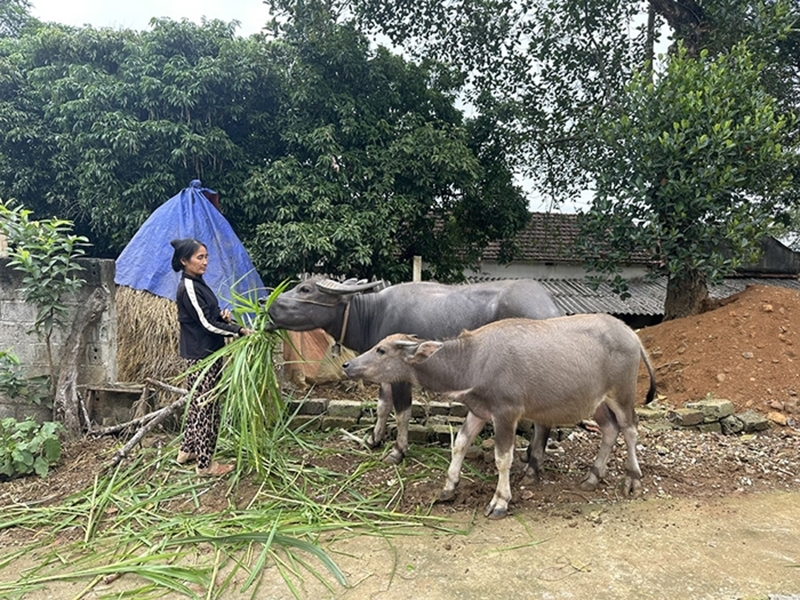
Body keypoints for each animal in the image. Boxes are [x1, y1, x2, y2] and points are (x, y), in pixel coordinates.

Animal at [268, 276, 564, 464]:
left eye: (305, 289)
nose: (267, 304)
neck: (374, 314)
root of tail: (551, 310)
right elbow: (382, 406)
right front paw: (373, 439)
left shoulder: (401, 376)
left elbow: (402, 412)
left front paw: (398, 451)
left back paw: (533, 463)